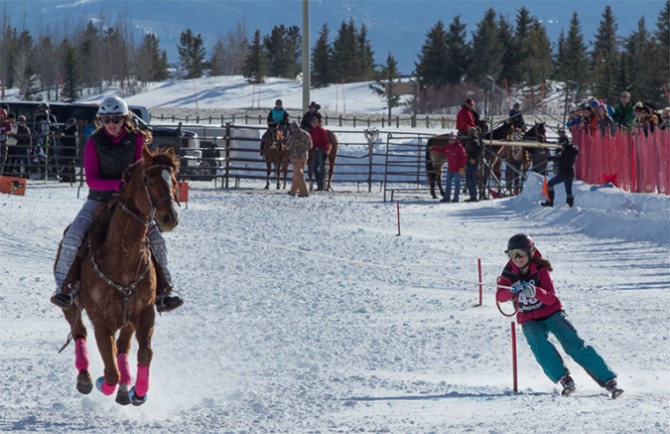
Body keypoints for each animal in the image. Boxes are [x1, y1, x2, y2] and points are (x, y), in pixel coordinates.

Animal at [56, 147, 181, 406]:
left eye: (174, 181)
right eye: (150, 181)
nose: (170, 218)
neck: (123, 261)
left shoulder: (144, 313)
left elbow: (144, 353)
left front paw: (138, 392)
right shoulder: (100, 320)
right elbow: (110, 367)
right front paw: (103, 382)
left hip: (127, 320)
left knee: (123, 347)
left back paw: (125, 389)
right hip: (70, 305)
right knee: (79, 332)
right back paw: (86, 379)